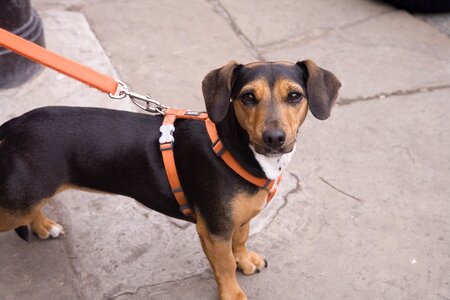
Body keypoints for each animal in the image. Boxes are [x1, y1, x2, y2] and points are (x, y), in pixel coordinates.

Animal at [0, 59, 338, 298]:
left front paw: (245, 260)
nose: (274, 139)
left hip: (26, 199)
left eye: (294, 96)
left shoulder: (238, 219)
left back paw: (44, 226)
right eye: (247, 97)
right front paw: (233, 293)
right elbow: (225, 266)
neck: (236, 147)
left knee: (33, 210)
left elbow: (240, 241)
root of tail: (14, 126)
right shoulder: (213, 231)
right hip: (15, 203)